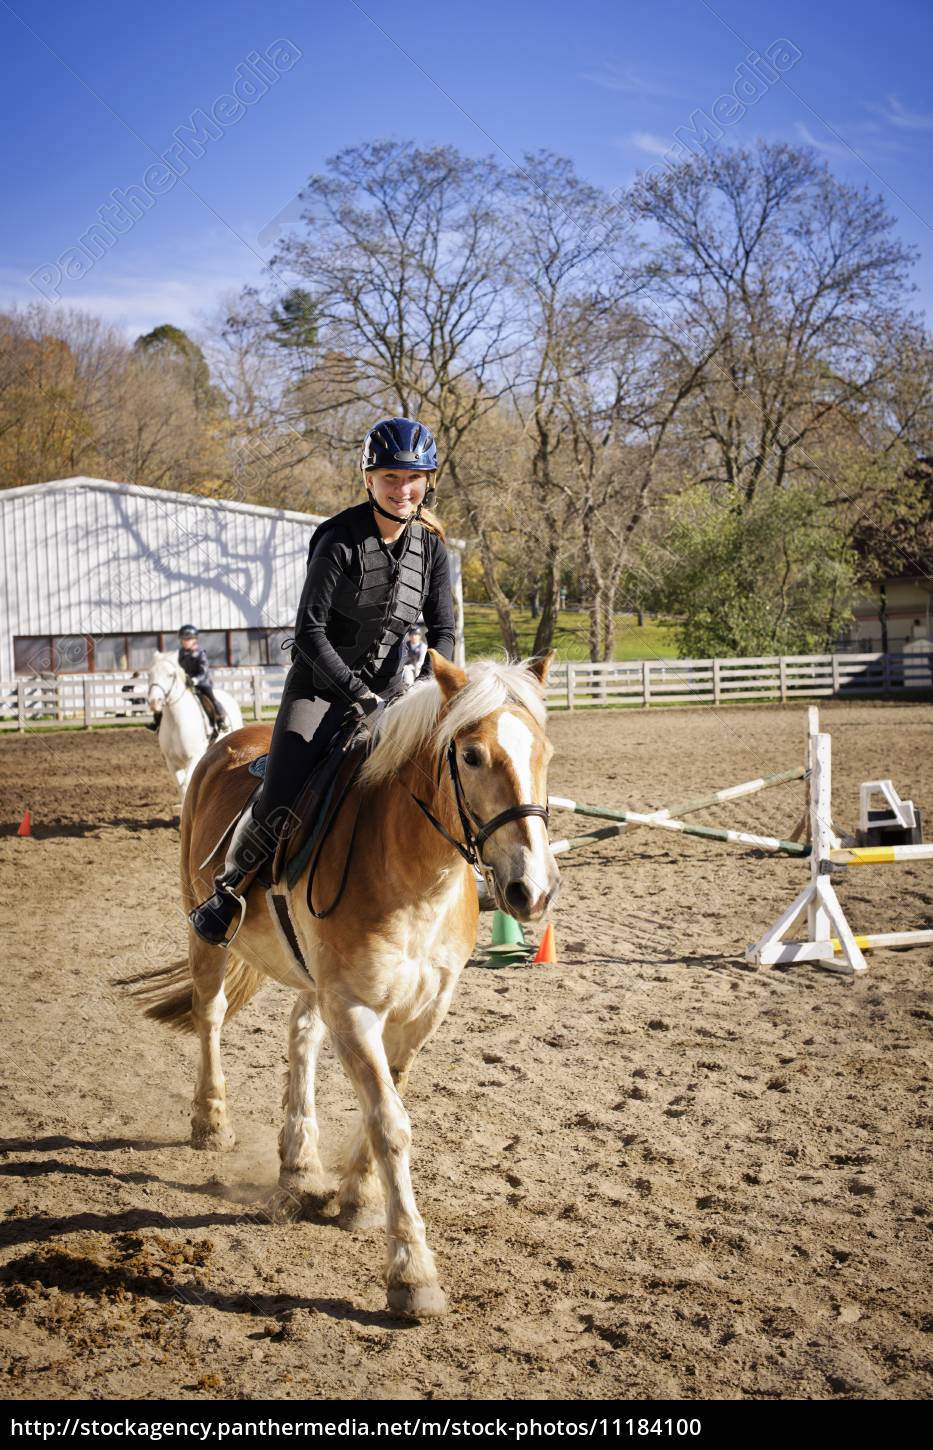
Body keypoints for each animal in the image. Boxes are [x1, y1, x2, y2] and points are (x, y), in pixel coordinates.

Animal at [145, 655, 240, 806]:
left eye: (170, 675)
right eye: (149, 674)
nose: (154, 702)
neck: (176, 722)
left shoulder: (193, 758)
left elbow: (187, 784)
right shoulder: (171, 762)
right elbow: (181, 786)